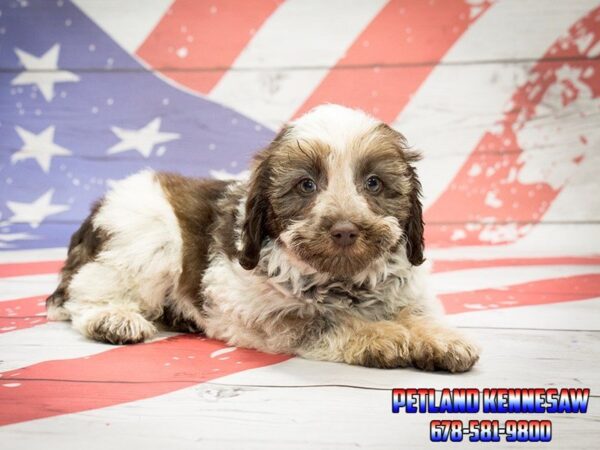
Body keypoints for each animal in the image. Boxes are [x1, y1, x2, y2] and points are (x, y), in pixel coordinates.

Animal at [45, 105, 478, 372]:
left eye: (373, 183)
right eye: (306, 185)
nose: (344, 230)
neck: (343, 282)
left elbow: (416, 311)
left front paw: (439, 338)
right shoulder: (253, 305)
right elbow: (322, 318)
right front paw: (380, 334)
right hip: (146, 236)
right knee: (82, 295)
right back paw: (112, 319)